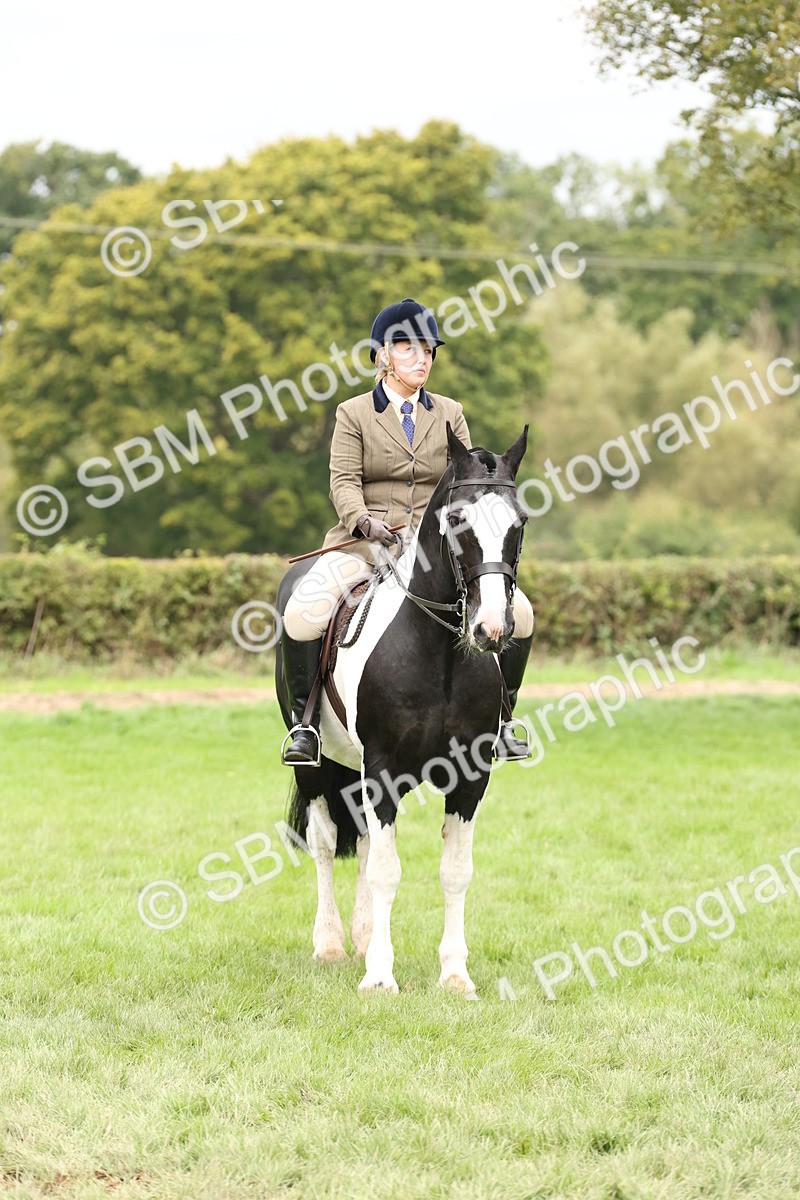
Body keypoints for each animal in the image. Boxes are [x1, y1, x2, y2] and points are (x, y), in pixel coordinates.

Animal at [275, 423, 529, 995]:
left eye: (519, 522)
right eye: (457, 521)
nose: (491, 630)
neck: (441, 656)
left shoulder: (470, 776)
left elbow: (454, 870)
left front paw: (455, 974)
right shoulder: (384, 769)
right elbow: (385, 870)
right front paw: (379, 978)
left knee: (368, 842)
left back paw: (365, 938)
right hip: (319, 765)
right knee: (327, 844)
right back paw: (332, 945)